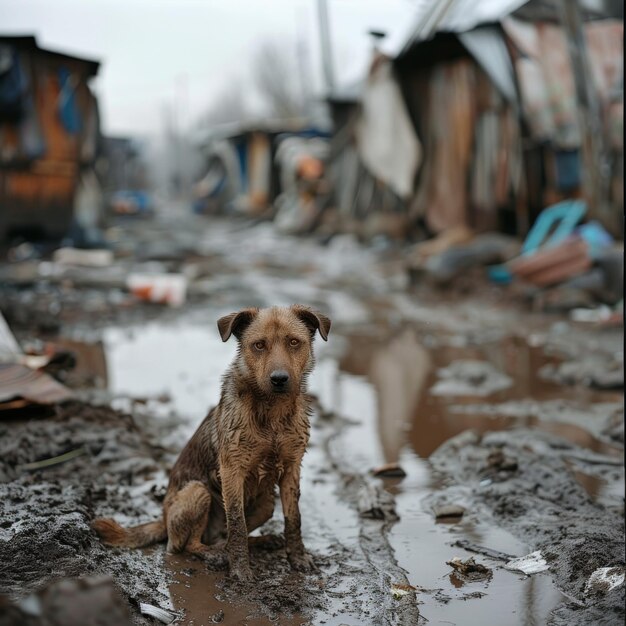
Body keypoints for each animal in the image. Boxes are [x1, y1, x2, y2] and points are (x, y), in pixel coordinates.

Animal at [92, 302, 330, 580]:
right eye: (259, 345)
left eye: (294, 342)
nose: (279, 379)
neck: (272, 413)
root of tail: (163, 519)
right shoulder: (231, 471)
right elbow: (237, 523)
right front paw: (240, 570)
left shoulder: (292, 468)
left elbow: (294, 519)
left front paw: (298, 557)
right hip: (198, 492)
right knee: (185, 545)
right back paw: (215, 554)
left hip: (266, 504)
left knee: (222, 536)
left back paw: (259, 542)